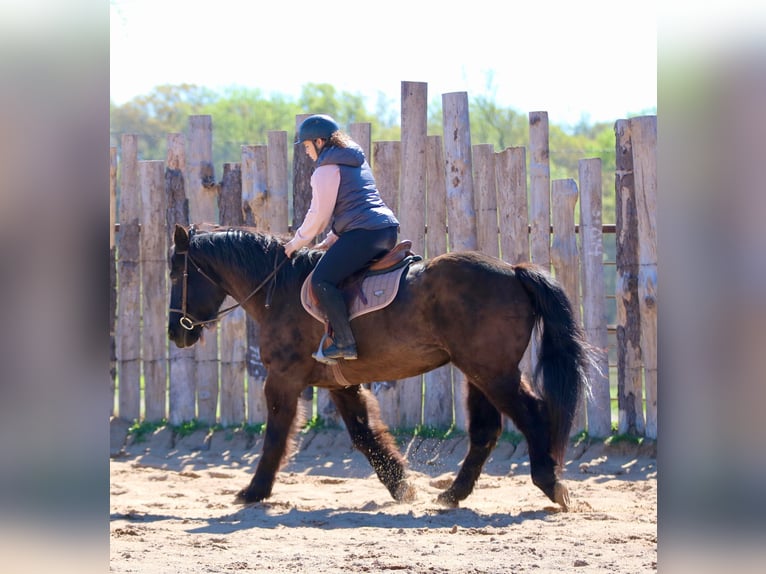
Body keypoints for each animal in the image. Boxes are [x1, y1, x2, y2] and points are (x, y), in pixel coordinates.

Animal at [167, 224, 590, 510]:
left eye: (175, 273)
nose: (176, 332)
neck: (280, 289)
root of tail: (514, 271)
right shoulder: (340, 384)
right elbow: (365, 435)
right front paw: (402, 486)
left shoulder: (282, 379)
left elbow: (276, 436)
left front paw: (254, 491)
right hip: (479, 373)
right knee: (486, 431)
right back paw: (453, 494)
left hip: (495, 373)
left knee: (533, 414)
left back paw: (550, 483)